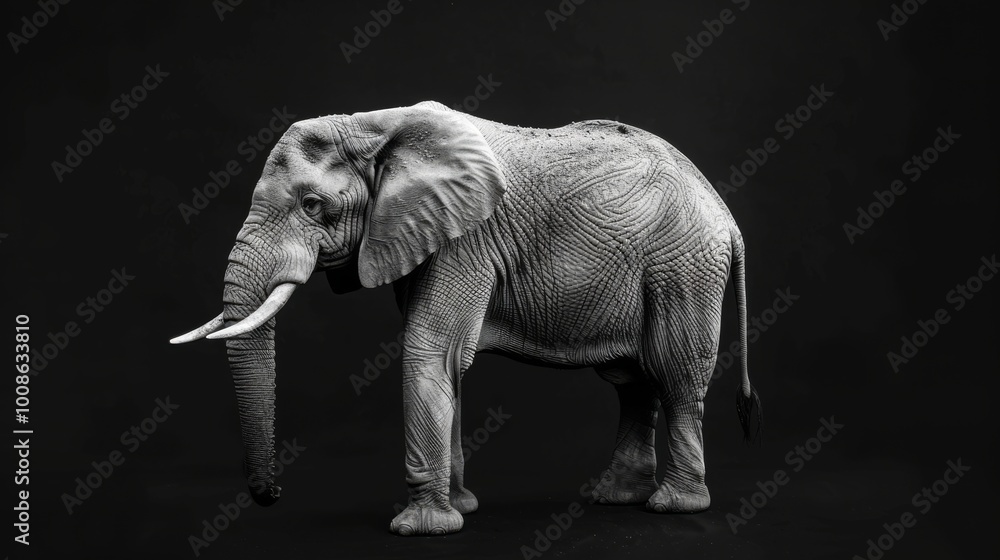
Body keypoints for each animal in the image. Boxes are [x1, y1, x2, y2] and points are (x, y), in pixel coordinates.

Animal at [171, 100, 761, 536]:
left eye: (313, 206)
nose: (271, 496)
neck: (376, 126)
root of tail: (727, 215)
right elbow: (450, 364)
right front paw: (461, 508)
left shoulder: (466, 240)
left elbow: (428, 347)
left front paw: (421, 529)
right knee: (632, 380)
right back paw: (616, 498)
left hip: (684, 266)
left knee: (675, 374)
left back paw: (673, 507)